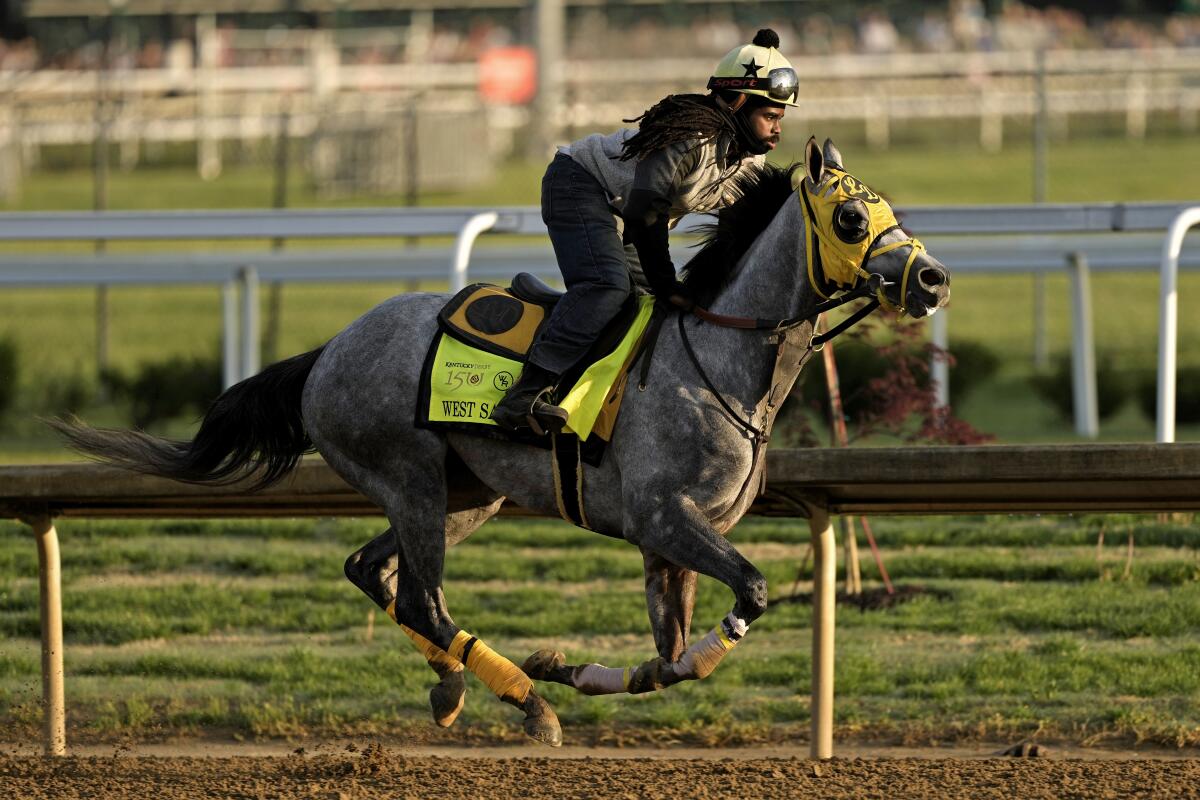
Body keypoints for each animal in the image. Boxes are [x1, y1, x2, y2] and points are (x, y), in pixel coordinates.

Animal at [54, 137, 945, 743]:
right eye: (852, 216)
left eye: (894, 213)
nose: (932, 280)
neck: (716, 360)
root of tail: (328, 350)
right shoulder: (665, 519)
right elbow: (750, 595)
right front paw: (554, 677)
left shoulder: (673, 543)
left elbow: (667, 661)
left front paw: (572, 666)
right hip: (411, 478)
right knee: (421, 595)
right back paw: (523, 701)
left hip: (466, 493)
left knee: (372, 571)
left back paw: (458, 686)